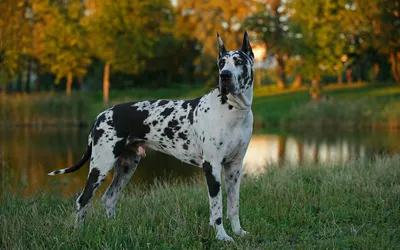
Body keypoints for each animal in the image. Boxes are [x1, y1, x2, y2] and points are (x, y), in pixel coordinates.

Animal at [48, 30, 255, 241]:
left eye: (239, 61)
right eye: (221, 63)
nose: (224, 76)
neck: (233, 111)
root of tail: (100, 115)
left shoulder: (234, 168)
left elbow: (233, 206)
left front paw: (238, 232)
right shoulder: (212, 167)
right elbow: (217, 209)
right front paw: (222, 236)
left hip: (126, 166)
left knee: (109, 197)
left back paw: (114, 228)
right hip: (101, 165)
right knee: (83, 200)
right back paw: (78, 232)